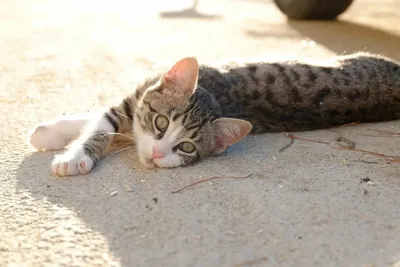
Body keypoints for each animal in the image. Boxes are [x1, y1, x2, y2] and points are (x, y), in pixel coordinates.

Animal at [28, 53, 400, 177]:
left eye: (187, 147)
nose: (158, 154)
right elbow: (98, 124)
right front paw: (57, 139)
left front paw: (70, 155)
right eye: (161, 122)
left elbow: (107, 125)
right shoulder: (132, 101)